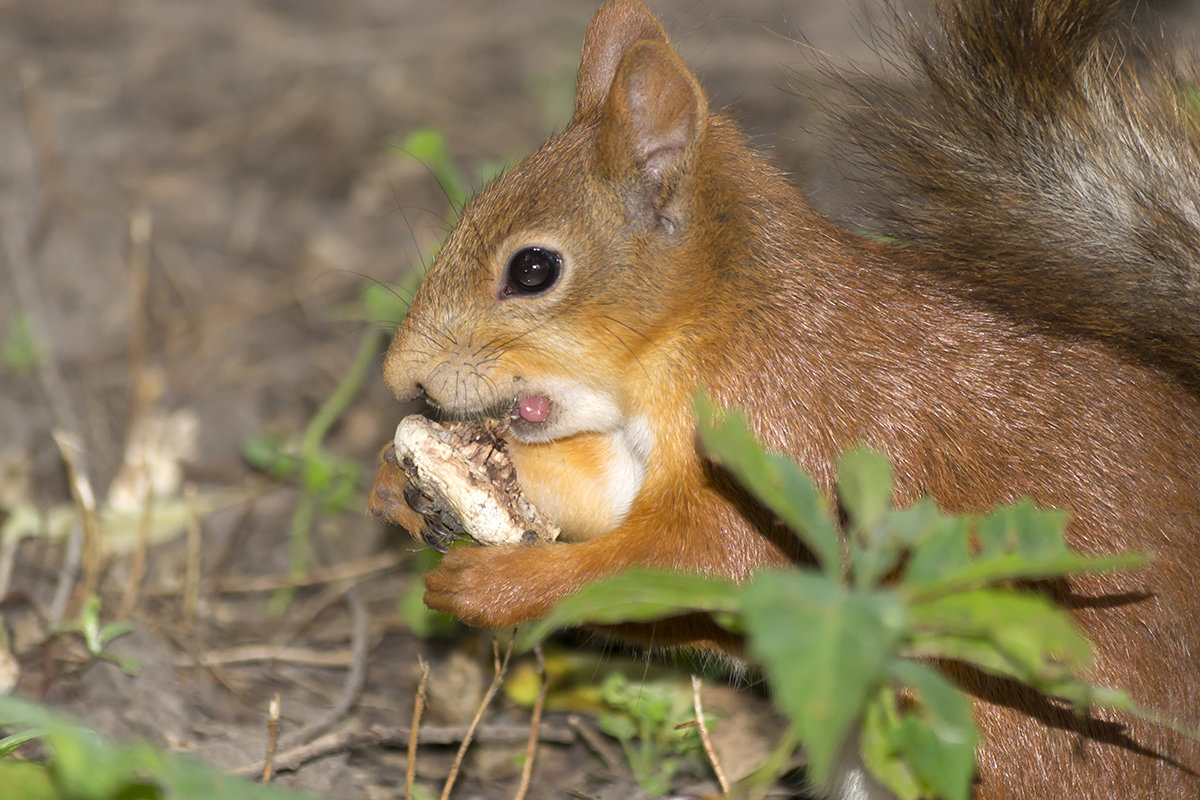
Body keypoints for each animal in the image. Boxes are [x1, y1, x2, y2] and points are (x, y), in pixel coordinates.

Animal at [369, 0, 1200, 796]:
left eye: (533, 269)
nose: (400, 378)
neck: (718, 321)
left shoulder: (782, 435)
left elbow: (694, 561)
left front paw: (497, 583)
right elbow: (602, 503)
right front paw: (399, 485)